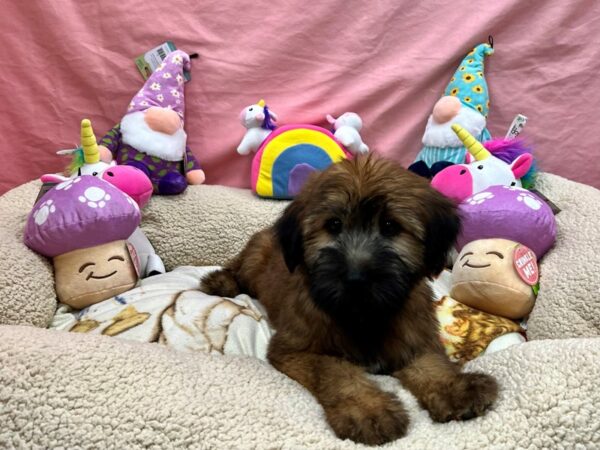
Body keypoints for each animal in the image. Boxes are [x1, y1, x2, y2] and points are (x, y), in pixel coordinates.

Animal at [202, 156, 496, 444]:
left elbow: (431, 364)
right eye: (333, 225)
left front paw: (456, 388)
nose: (356, 279)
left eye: (390, 226)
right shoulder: (296, 349)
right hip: (254, 258)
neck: (363, 315)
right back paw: (221, 282)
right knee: (237, 267)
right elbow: (335, 371)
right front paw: (367, 409)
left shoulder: (415, 339)